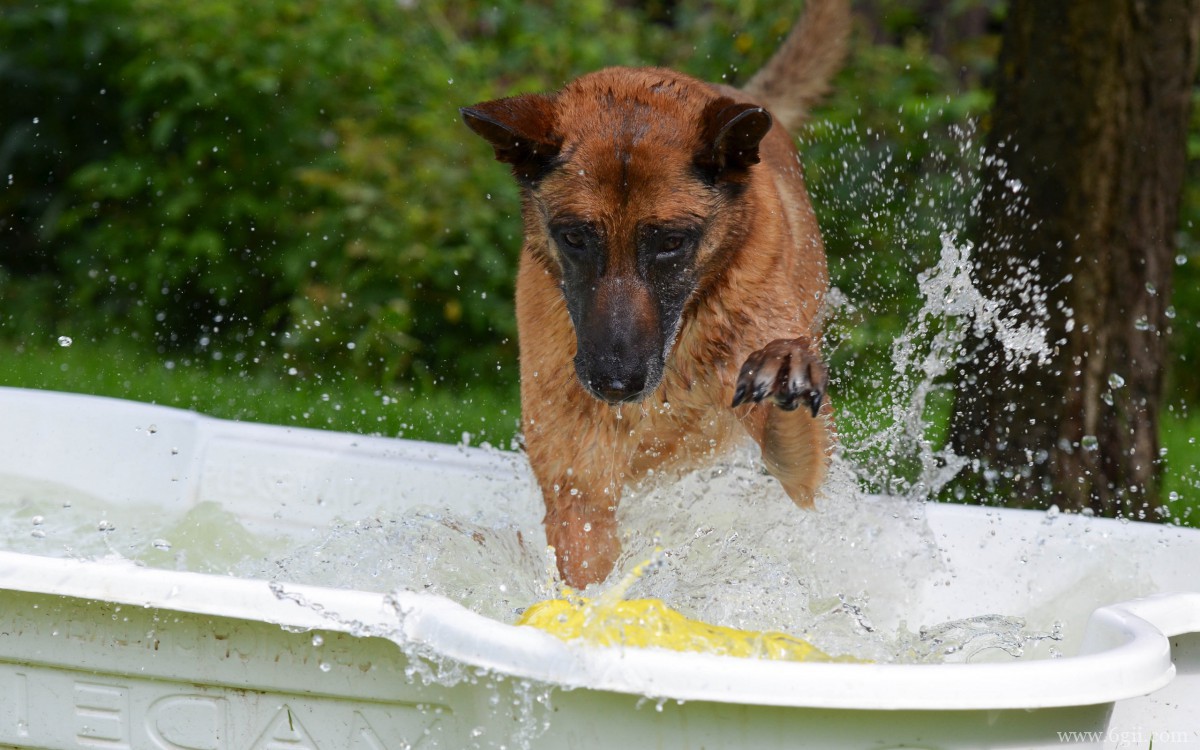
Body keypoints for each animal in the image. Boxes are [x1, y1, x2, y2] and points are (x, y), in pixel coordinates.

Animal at [463, 0, 849, 585]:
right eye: (575, 237)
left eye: (671, 242)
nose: (615, 384)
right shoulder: (579, 490)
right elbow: (586, 571)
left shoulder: (803, 473)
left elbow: (795, 447)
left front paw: (786, 367)